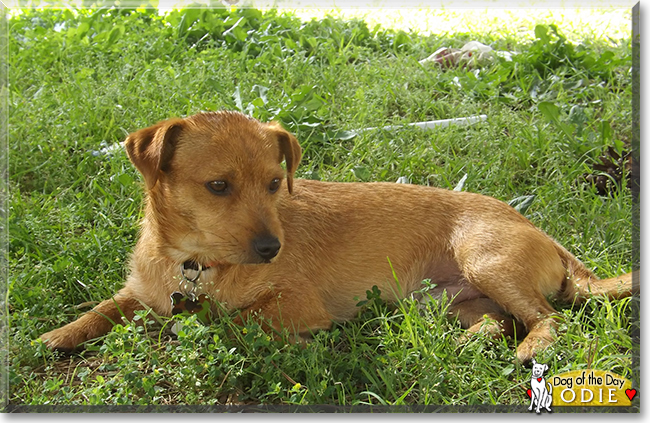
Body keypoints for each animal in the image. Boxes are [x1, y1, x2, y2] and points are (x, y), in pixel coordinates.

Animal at [39, 111, 632, 362]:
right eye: (218, 186)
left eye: (274, 184)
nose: (271, 249)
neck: (194, 265)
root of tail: (546, 235)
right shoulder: (139, 292)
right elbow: (104, 308)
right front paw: (58, 335)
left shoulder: (294, 306)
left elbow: (231, 318)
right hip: (446, 300)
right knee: (496, 322)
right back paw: (460, 343)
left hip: (485, 259)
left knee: (547, 319)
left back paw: (530, 349)